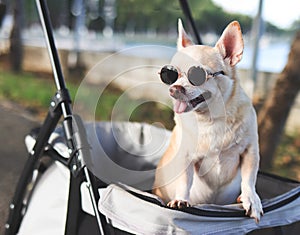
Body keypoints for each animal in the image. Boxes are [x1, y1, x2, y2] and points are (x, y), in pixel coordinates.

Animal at [154, 18, 264, 222]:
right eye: (170, 75)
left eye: (197, 75)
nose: (174, 88)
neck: (212, 119)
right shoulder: (185, 157)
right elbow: (185, 181)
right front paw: (181, 199)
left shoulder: (250, 151)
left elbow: (249, 178)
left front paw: (251, 198)